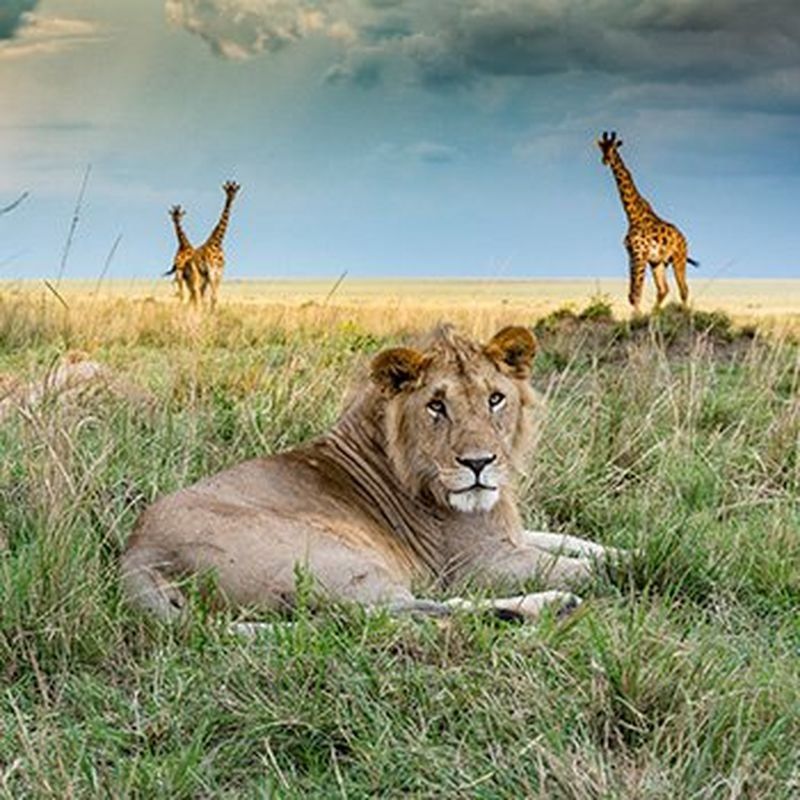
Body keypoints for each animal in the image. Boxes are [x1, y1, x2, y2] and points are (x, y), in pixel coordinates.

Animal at [122, 324, 628, 624]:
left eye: (495, 399)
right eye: (436, 406)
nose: (478, 464)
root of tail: (137, 552)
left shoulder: (512, 536)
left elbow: (580, 542)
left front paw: (627, 549)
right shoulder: (479, 565)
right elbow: (584, 569)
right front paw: (634, 566)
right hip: (345, 562)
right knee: (405, 613)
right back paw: (546, 605)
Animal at [191, 181, 241, 310]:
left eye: (235, 190)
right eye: (227, 190)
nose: (231, 199)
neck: (217, 242)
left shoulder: (220, 272)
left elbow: (215, 297)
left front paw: (213, 312)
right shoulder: (211, 271)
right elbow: (212, 297)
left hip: (204, 276)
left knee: (200, 293)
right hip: (198, 274)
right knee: (197, 292)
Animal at [596, 131, 696, 312]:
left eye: (614, 148)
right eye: (602, 148)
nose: (605, 160)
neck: (632, 215)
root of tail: (683, 238)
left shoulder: (640, 255)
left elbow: (636, 293)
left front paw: (637, 317)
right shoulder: (632, 255)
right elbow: (631, 294)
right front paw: (639, 316)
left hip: (678, 258)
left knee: (683, 289)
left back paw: (684, 314)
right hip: (659, 263)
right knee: (663, 289)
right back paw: (656, 313)